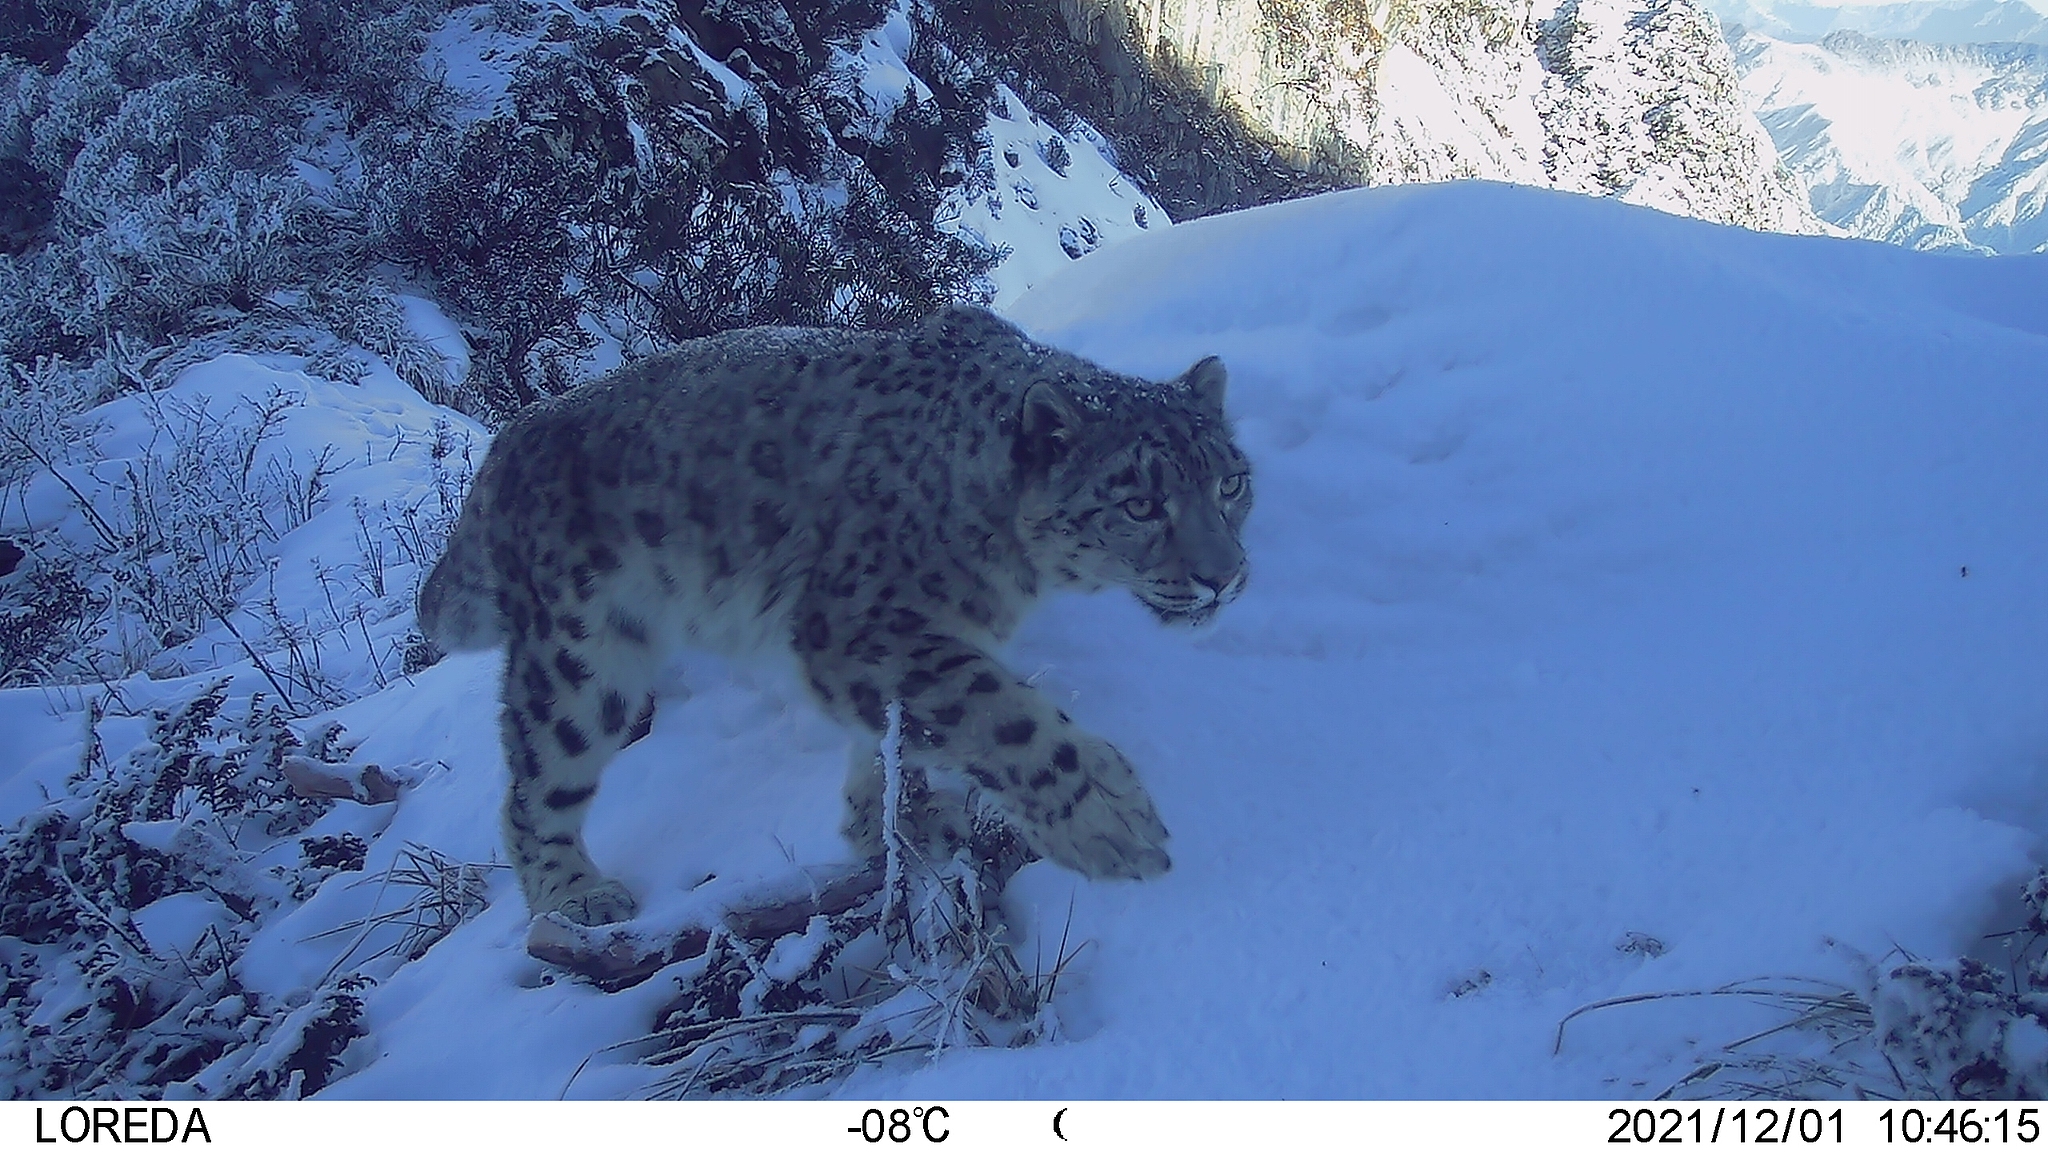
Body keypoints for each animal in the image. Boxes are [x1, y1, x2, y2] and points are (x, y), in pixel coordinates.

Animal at [417, 305, 1252, 926]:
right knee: (537, 780)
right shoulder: (859, 626)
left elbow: (893, 737)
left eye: (1231, 483)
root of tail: (508, 441)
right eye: (1139, 504)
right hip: (584, 653)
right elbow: (992, 712)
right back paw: (574, 894)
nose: (1224, 577)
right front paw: (1111, 821)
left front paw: (889, 820)